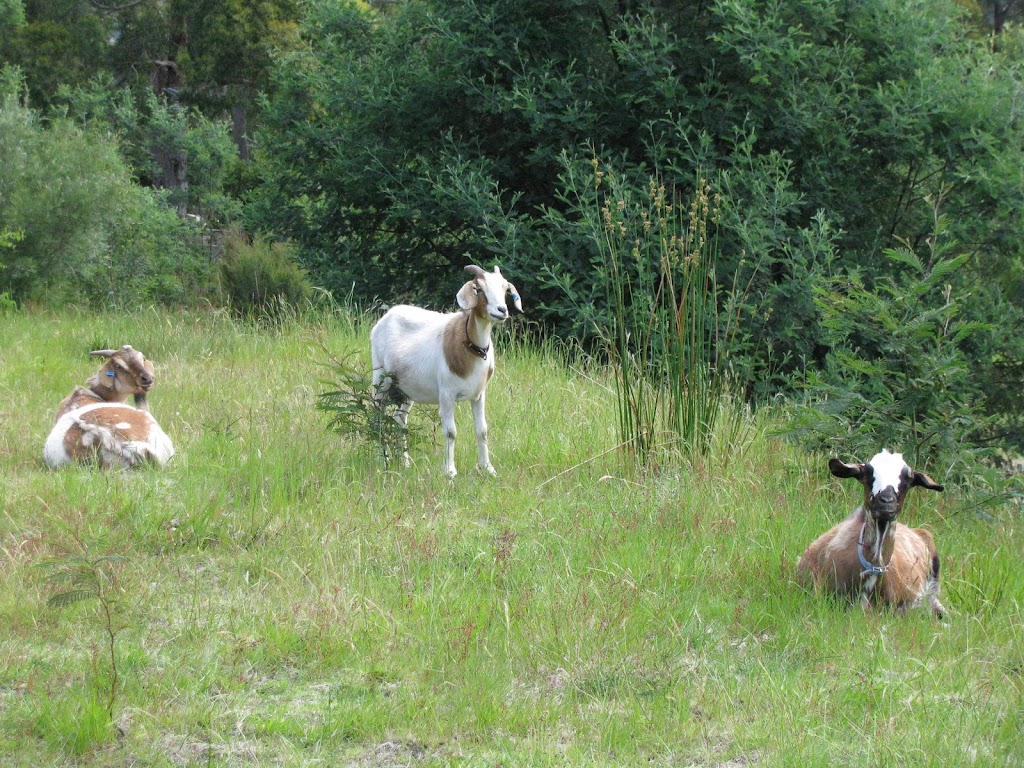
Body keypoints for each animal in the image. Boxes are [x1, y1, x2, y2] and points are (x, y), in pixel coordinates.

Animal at [370, 264, 522, 478]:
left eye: (504, 289)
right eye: (479, 289)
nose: (502, 310)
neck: (471, 347)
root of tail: (387, 316)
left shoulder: (479, 395)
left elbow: (482, 430)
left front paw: (488, 468)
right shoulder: (447, 394)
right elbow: (450, 432)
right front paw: (450, 471)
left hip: (406, 390)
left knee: (399, 419)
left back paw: (405, 462)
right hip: (381, 379)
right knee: (376, 416)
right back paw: (381, 459)